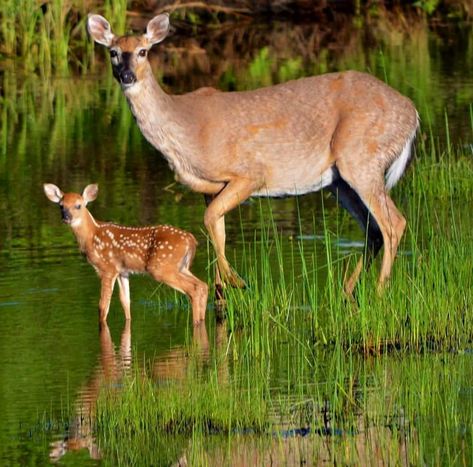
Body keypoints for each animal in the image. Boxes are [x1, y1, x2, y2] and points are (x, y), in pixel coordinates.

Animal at [43, 184, 206, 326]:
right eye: (61, 205)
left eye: (78, 205)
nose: (66, 217)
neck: (91, 236)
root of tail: (191, 240)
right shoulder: (123, 271)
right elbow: (125, 302)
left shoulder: (107, 268)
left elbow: (102, 306)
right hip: (181, 266)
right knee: (202, 285)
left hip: (161, 267)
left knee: (193, 289)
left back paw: (196, 323)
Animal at [87, 13, 416, 296]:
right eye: (113, 52)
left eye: (143, 51)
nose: (126, 75)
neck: (186, 130)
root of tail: (412, 114)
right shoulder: (209, 188)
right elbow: (216, 227)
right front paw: (221, 293)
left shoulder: (251, 174)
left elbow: (210, 219)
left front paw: (237, 282)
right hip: (339, 181)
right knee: (374, 230)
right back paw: (349, 289)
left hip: (361, 158)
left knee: (394, 224)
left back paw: (379, 291)